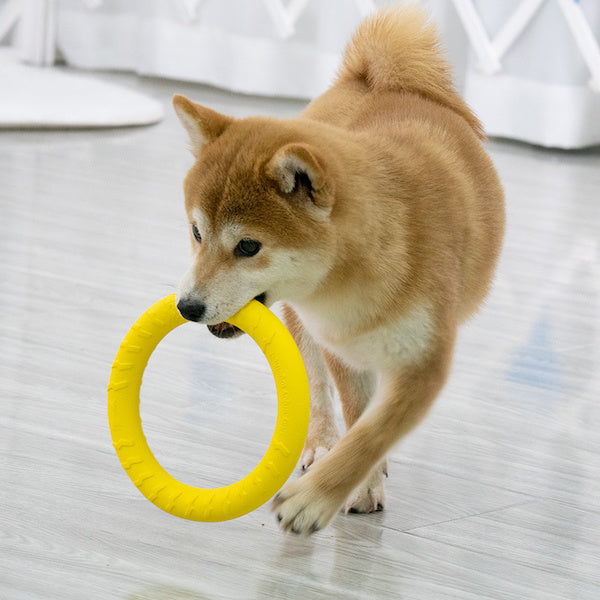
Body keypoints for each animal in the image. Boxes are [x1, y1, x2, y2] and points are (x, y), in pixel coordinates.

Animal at [175, 5, 506, 536]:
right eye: (197, 232)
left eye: (248, 246)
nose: (187, 306)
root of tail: (370, 77)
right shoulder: (341, 344)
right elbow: (356, 416)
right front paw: (359, 483)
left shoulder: (424, 366)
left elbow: (372, 434)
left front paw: (314, 499)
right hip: (301, 325)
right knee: (317, 391)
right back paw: (320, 444)